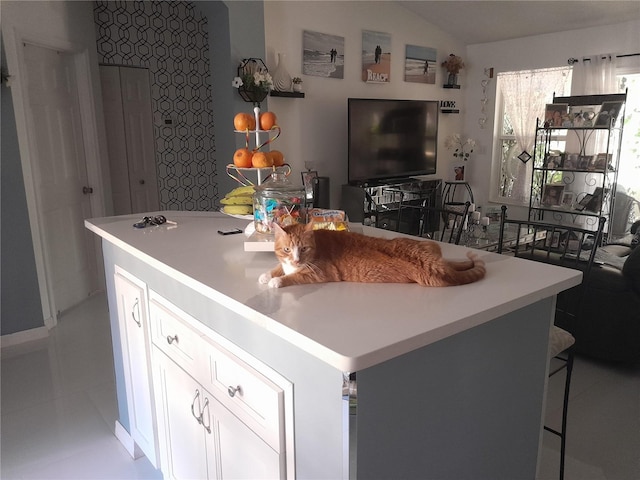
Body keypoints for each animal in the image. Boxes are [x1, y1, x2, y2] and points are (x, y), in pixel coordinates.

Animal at [258, 222, 484, 286]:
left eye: (303, 249)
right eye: (287, 249)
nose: (296, 259)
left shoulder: (319, 274)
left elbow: (292, 277)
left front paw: (277, 281)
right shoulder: (286, 263)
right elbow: (278, 267)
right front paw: (266, 275)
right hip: (434, 251)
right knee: (454, 263)